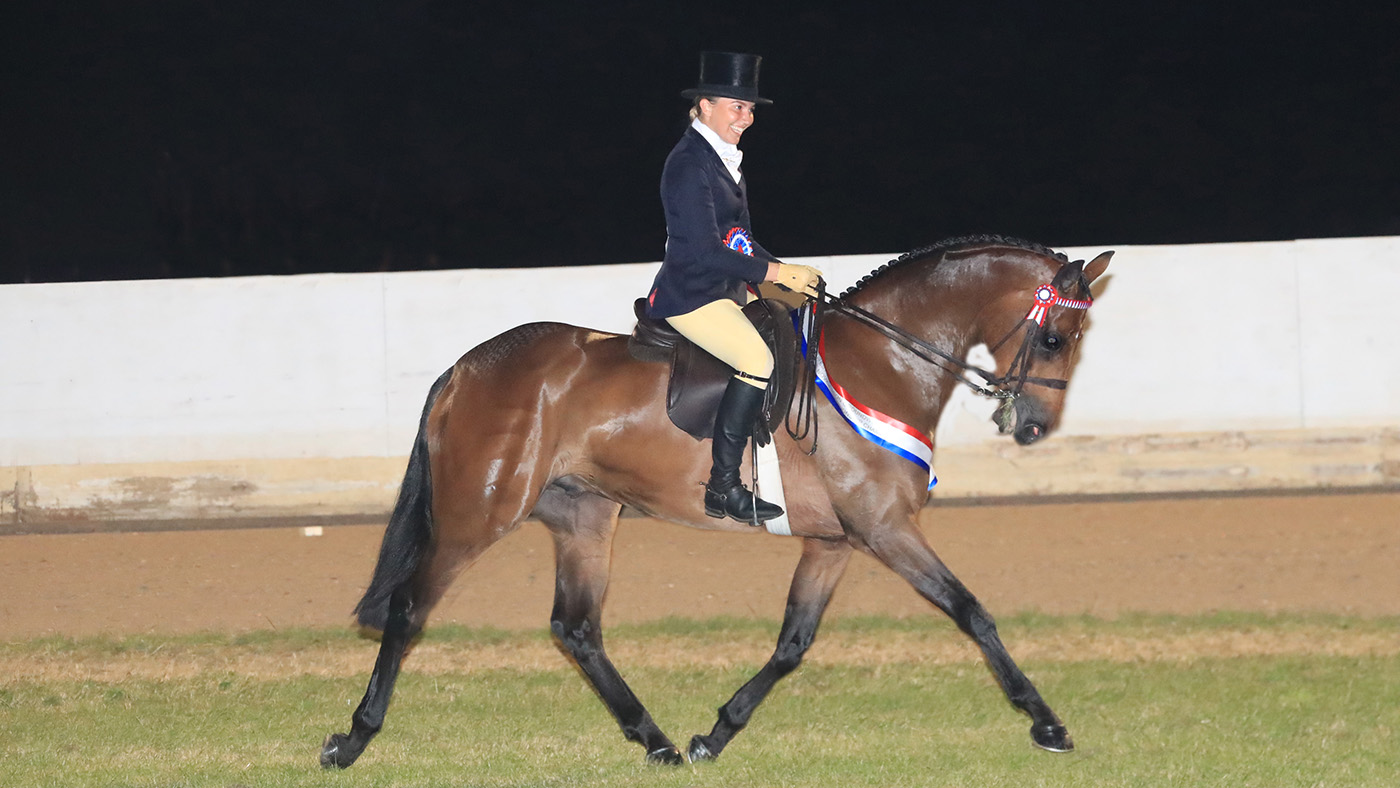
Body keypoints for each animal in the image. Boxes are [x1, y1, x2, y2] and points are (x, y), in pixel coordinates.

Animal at [320, 236, 1114, 772]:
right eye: (1054, 336)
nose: (1033, 428)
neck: (878, 364)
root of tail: (466, 368)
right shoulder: (885, 528)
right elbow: (972, 611)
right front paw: (1047, 725)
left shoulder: (836, 541)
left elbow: (793, 643)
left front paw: (717, 732)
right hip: (476, 513)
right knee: (410, 610)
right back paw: (353, 738)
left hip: (583, 517)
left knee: (577, 629)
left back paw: (659, 742)